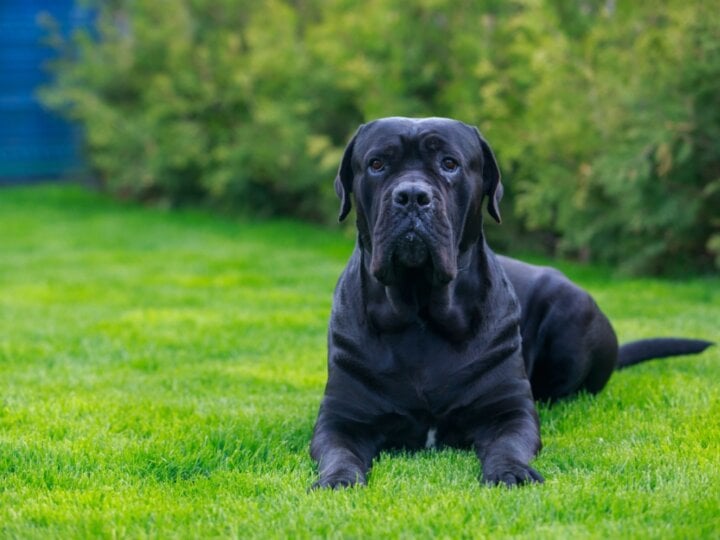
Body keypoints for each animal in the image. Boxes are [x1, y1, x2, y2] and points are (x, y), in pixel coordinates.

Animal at [310, 116, 716, 488]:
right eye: (377, 164)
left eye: (449, 163)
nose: (412, 195)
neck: (421, 313)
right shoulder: (341, 419)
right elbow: (338, 452)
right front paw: (338, 479)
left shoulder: (509, 411)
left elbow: (508, 444)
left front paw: (511, 472)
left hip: (573, 312)